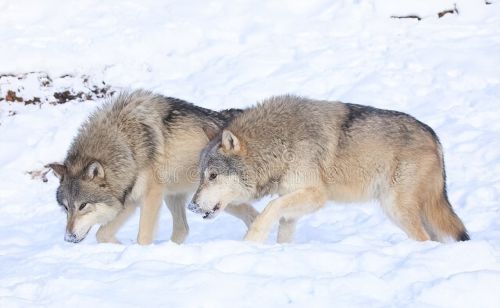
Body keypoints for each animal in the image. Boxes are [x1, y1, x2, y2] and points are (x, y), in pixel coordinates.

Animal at [47, 90, 258, 244]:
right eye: (66, 207)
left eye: (83, 205)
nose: (69, 238)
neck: (126, 143)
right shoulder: (129, 200)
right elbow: (102, 234)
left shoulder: (150, 195)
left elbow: (143, 236)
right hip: (183, 198)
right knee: (184, 229)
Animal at [189, 95, 470, 244]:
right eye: (201, 176)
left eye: (212, 176)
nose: (192, 206)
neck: (280, 145)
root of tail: (433, 135)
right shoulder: (291, 203)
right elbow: (283, 230)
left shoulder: (316, 195)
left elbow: (268, 210)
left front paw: (251, 242)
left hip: (397, 208)